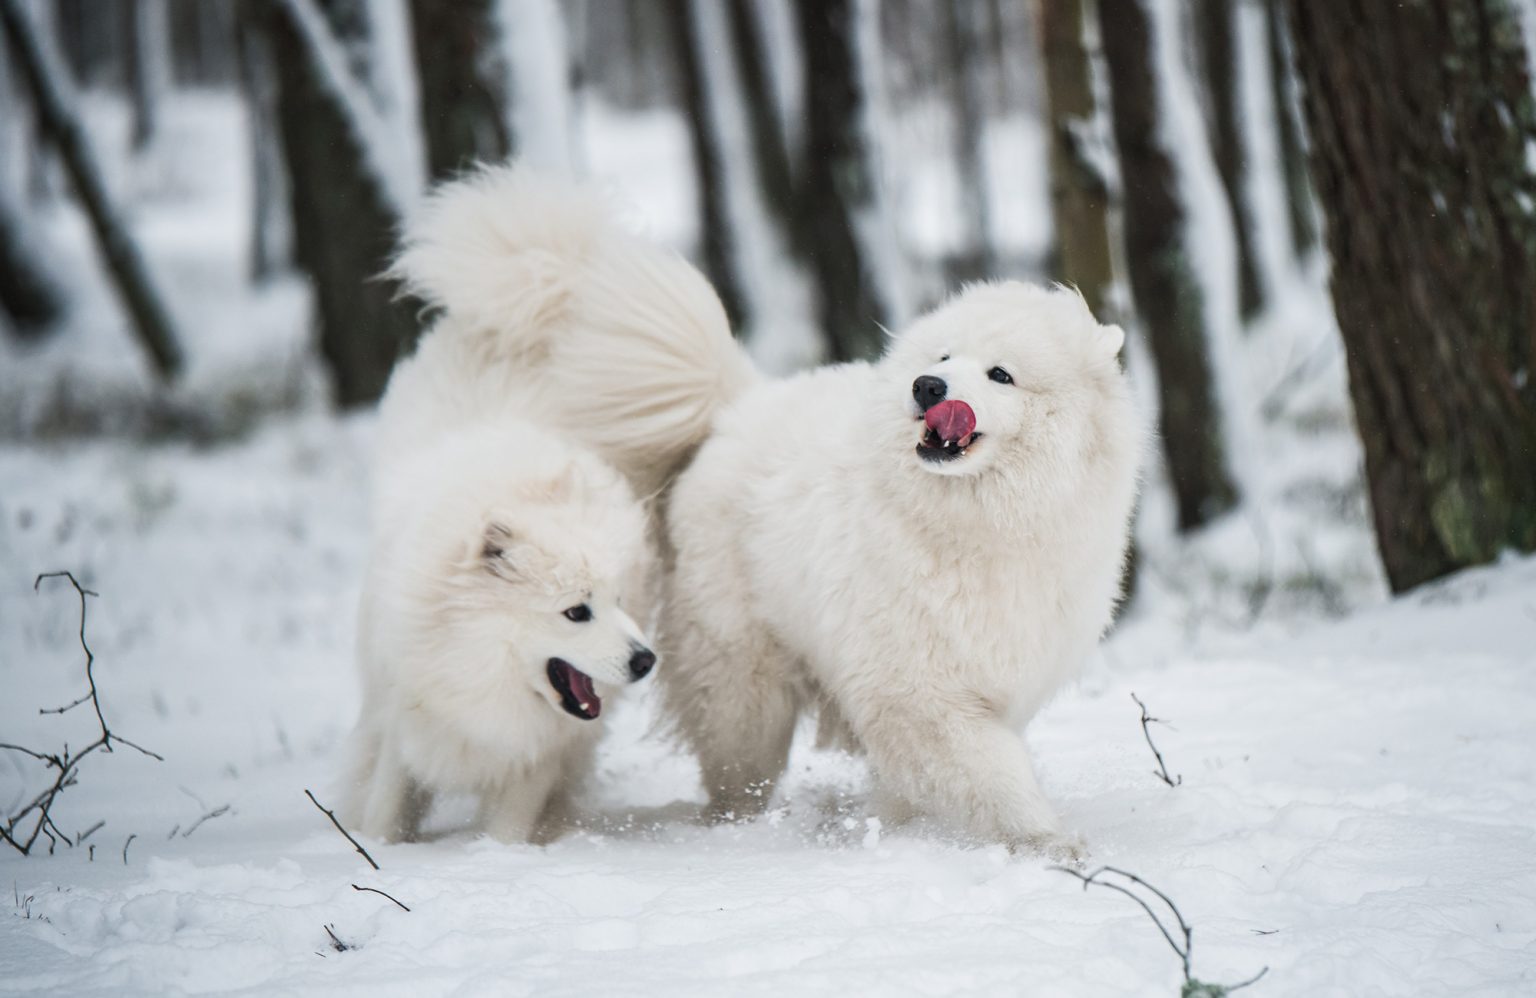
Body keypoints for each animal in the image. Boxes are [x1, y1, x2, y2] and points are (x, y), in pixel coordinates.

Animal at [340, 168, 743, 841]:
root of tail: (556, 297)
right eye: (576, 611)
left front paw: (501, 858)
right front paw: (374, 848)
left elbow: (510, 823)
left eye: (619, 599)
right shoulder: (406, 721)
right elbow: (386, 809)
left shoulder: (541, 751)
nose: (645, 661)